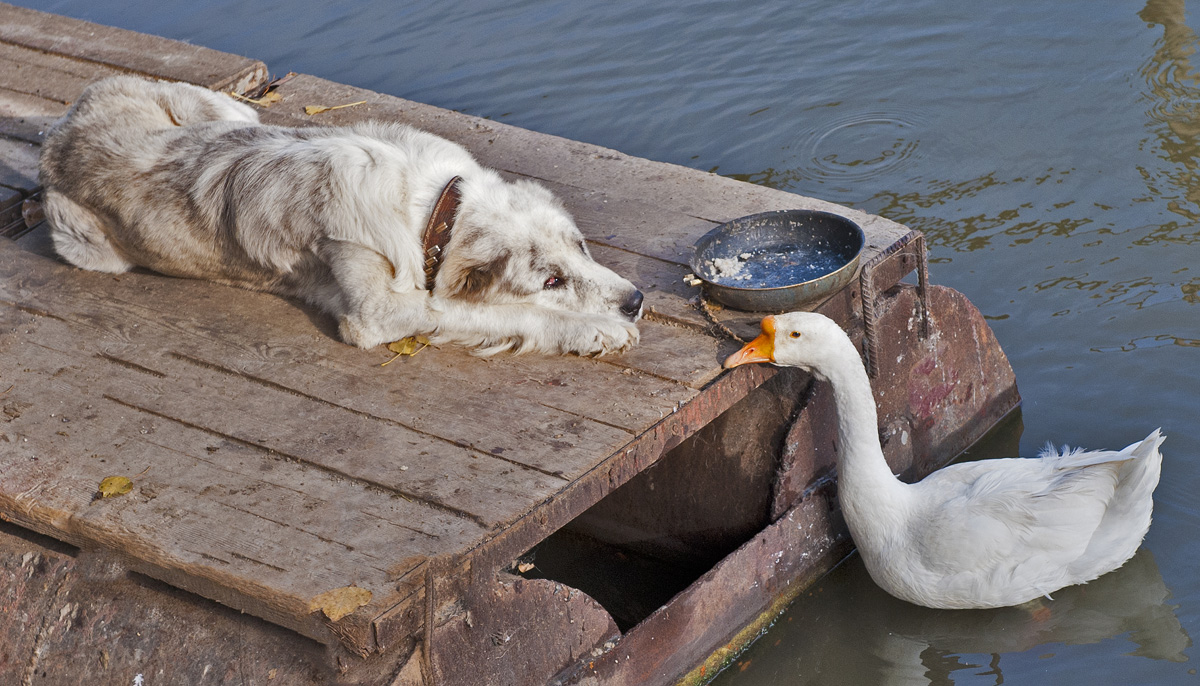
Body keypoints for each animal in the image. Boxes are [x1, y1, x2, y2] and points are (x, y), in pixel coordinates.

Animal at [37, 75, 643, 357]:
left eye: (581, 246)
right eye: (551, 280)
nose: (636, 302)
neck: (430, 207)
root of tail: (60, 131)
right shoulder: (377, 313)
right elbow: (490, 314)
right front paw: (593, 329)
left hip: (222, 109)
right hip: (82, 244)